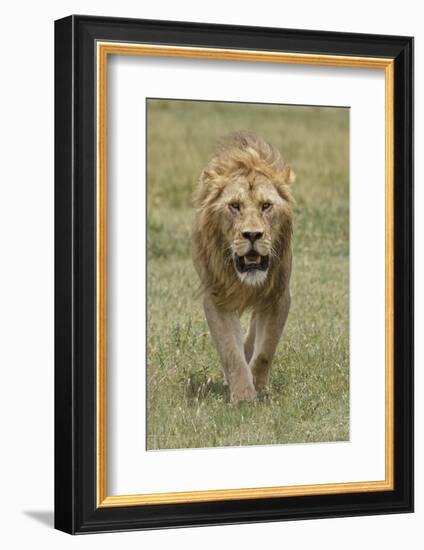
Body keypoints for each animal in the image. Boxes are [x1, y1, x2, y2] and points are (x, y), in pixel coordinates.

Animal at [193, 132, 294, 404]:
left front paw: (258, 387)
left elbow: (265, 350)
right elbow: (230, 351)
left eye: (266, 206)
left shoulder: (278, 296)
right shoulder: (216, 298)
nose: (252, 235)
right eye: (235, 206)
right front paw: (243, 397)